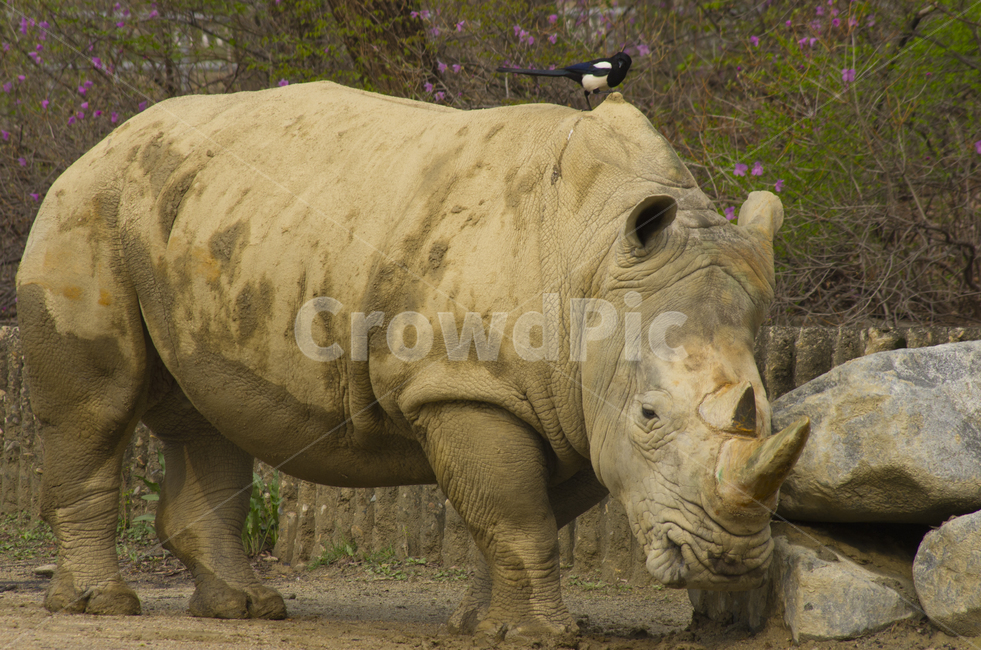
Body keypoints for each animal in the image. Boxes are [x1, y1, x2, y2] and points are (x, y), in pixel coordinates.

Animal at [16, 82, 808, 638]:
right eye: (649, 416)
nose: (732, 562)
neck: (595, 270)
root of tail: (104, 138)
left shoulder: (577, 406)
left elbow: (524, 518)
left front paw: (481, 626)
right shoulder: (467, 387)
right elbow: (514, 515)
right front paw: (539, 635)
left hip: (187, 216)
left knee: (204, 416)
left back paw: (245, 608)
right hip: (87, 206)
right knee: (98, 408)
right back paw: (103, 605)